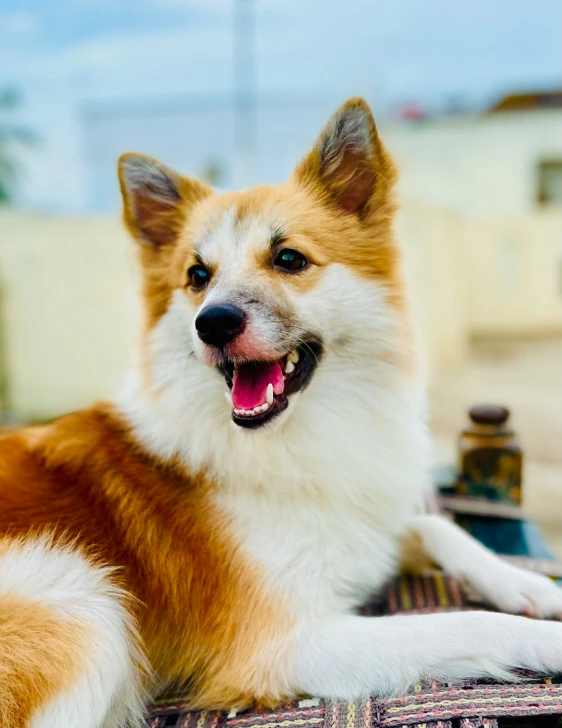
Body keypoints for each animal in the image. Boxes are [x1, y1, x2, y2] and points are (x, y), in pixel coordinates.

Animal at [1, 98, 560, 728]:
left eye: (289, 258)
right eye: (197, 276)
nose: (213, 323)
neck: (296, 436)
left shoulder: (364, 532)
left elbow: (433, 524)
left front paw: (530, 586)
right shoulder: (284, 644)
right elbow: (469, 622)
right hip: (81, 600)